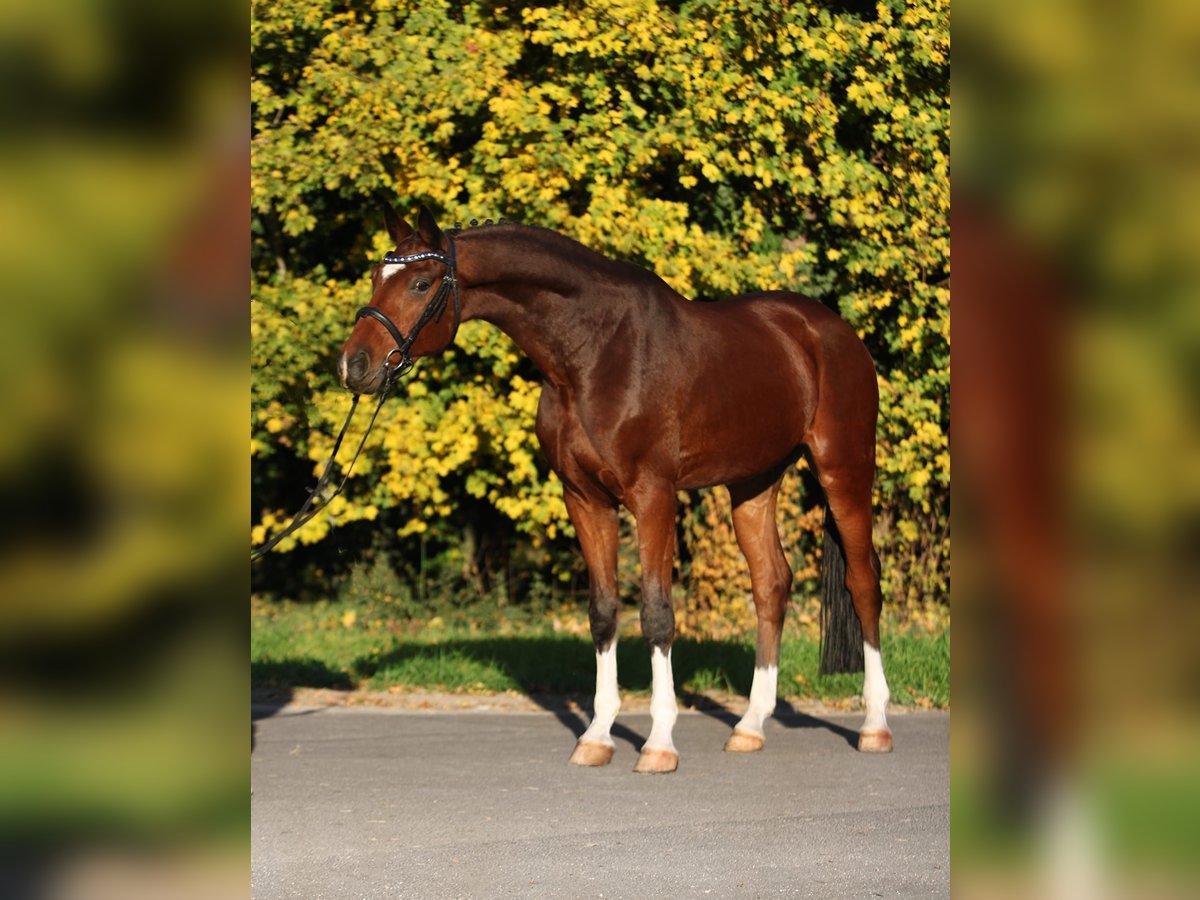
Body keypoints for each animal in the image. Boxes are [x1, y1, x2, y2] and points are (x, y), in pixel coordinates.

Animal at [338, 206, 892, 777]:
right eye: (376, 277)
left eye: (420, 283)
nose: (354, 365)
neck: (595, 354)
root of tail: (831, 330)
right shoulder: (585, 500)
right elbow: (603, 613)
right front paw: (597, 737)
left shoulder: (654, 497)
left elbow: (656, 614)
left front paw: (659, 744)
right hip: (753, 484)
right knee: (772, 585)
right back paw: (750, 727)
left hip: (845, 470)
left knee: (863, 583)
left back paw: (874, 726)